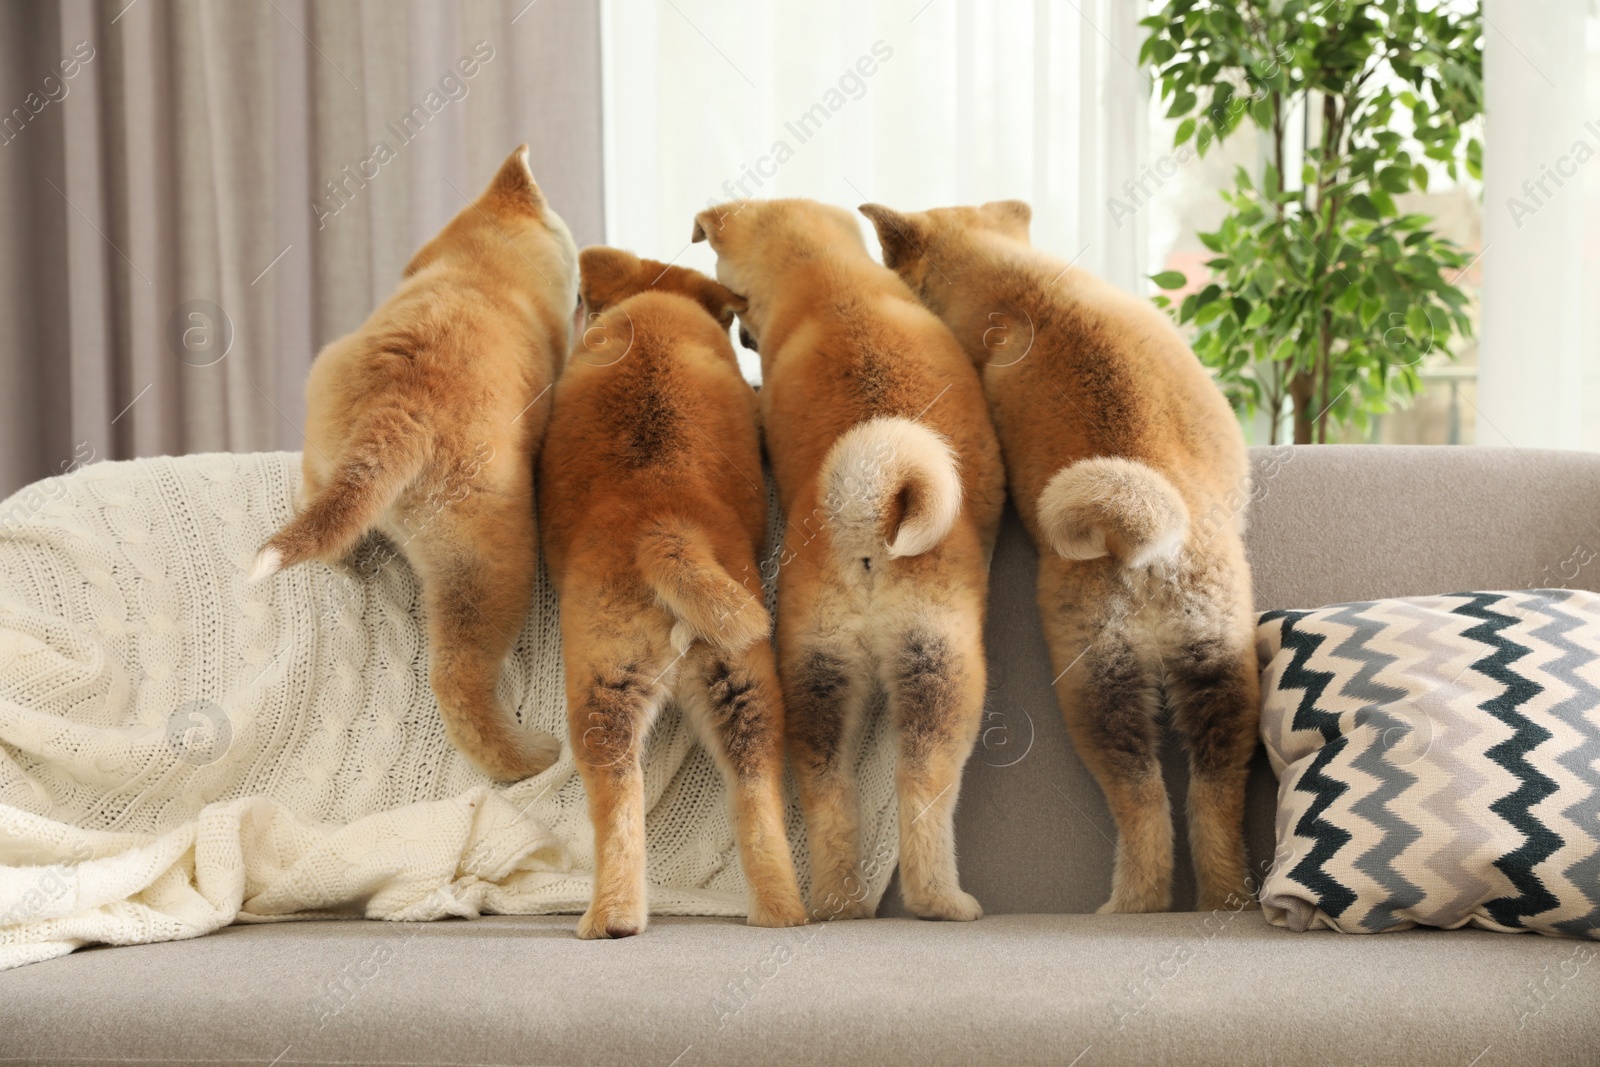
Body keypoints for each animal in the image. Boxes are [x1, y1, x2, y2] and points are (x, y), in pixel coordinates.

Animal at [249, 146, 576, 783]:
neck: (483, 266)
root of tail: (395, 411)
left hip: (323, 451)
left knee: (322, 520)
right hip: (487, 561)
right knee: (457, 680)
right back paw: (528, 757)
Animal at [540, 246, 806, 940]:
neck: (658, 307)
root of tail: (664, 526)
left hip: (602, 693)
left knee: (619, 808)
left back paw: (609, 918)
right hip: (743, 687)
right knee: (755, 796)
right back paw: (780, 910)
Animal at [691, 202, 998, 927]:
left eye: (735, 297)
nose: (743, 337)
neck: (823, 274)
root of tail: (865, 511)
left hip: (817, 669)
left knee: (829, 791)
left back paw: (839, 901)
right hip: (942, 667)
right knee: (923, 788)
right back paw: (944, 901)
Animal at [864, 198, 1260, 908]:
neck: (1010, 276)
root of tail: (1147, 542)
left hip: (1116, 683)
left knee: (1155, 807)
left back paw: (1147, 903)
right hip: (1198, 672)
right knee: (1191, 802)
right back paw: (1203, 899)